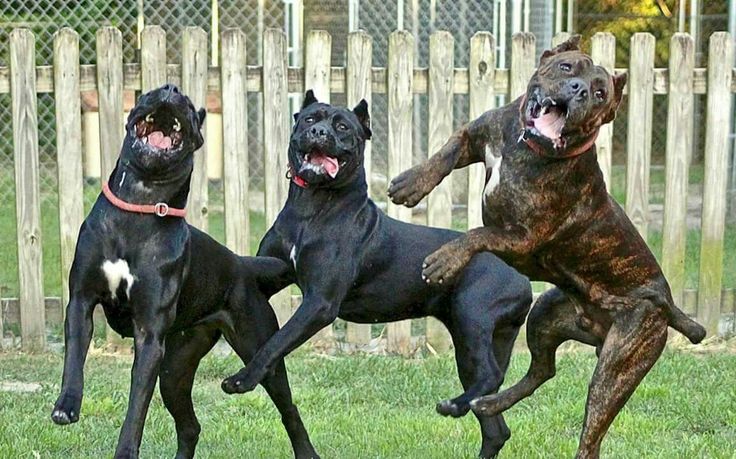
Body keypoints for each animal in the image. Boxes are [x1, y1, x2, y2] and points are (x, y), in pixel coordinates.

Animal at [388, 36, 704, 459]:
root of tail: (667, 303)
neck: (528, 148)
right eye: (569, 67)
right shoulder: (477, 134)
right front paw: (411, 183)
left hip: (617, 365)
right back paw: (487, 402)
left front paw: (445, 259)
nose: (579, 90)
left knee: (590, 431)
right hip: (546, 315)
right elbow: (446, 152)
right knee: (542, 370)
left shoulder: (522, 237)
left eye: (600, 93)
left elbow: (478, 233)